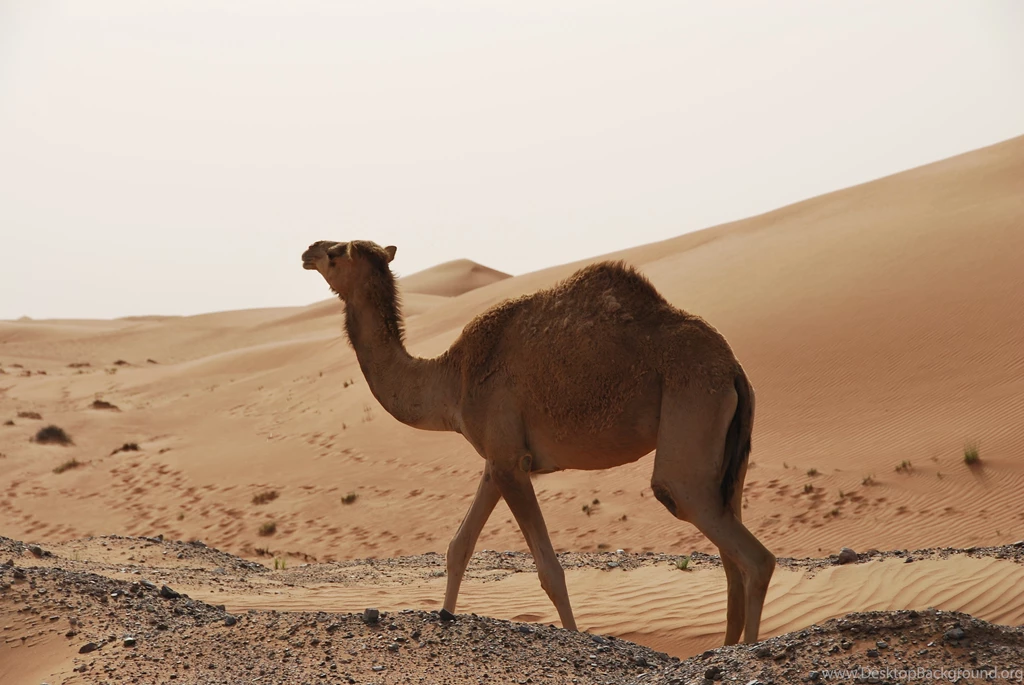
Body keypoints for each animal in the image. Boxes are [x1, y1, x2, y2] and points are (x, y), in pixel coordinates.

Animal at [301, 239, 776, 645]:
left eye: (337, 252)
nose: (307, 250)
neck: (451, 380)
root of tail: (734, 368)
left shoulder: (510, 462)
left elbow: (550, 571)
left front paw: (573, 636)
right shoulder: (499, 459)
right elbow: (459, 547)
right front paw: (446, 615)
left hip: (691, 408)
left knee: (744, 550)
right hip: (727, 456)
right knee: (731, 554)